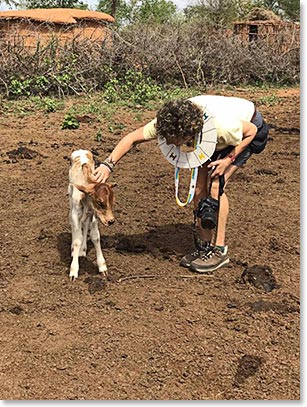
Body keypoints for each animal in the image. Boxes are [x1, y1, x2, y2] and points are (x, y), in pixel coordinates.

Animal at [68, 150, 115, 280]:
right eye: (100, 202)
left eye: (112, 202)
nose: (111, 221)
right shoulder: (76, 211)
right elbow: (77, 239)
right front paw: (74, 270)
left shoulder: (94, 213)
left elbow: (95, 236)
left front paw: (102, 267)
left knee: (85, 224)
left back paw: (83, 249)